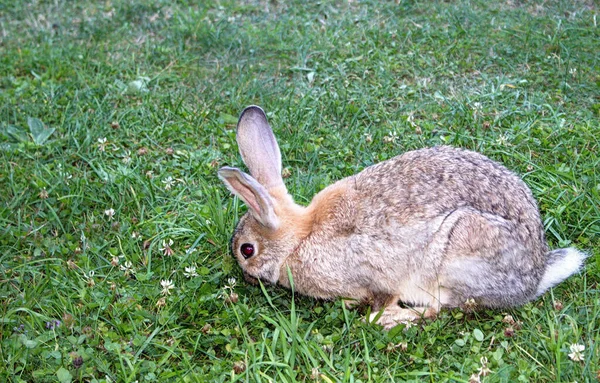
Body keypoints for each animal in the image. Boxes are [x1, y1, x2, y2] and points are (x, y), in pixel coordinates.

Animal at [217, 106, 584, 330]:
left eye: (247, 250)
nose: (245, 276)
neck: (300, 237)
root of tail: (533, 278)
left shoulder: (373, 275)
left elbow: (381, 293)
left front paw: (376, 312)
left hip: (456, 252)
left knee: (441, 308)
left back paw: (390, 320)